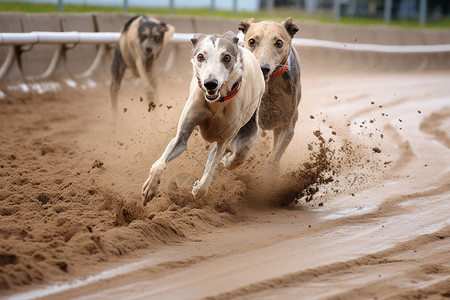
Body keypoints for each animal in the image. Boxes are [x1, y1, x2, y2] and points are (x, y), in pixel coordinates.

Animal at [237, 17, 300, 164]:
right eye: (252, 41)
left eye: (279, 42)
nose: (263, 68)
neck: (268, 86)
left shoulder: (287, 125)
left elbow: (274, 157)